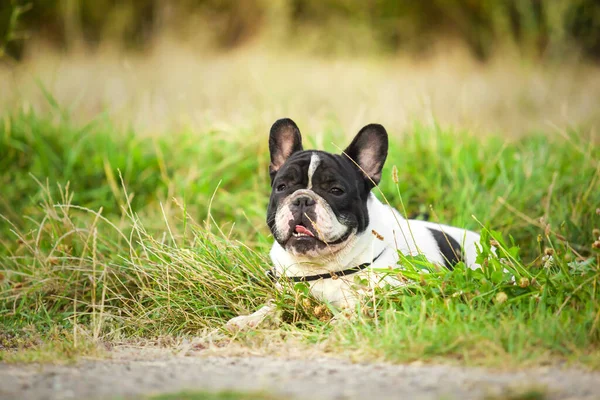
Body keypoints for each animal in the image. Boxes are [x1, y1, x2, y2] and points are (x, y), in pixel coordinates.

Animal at [225, 119, 482, 332]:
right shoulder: (287, 293)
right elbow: (272, 307)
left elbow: (362, 305)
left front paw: (341, 321)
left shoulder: (388, 293)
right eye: (282, 187)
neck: (322, 269)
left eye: (336, 190)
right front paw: (249, 320)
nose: (302, 199)